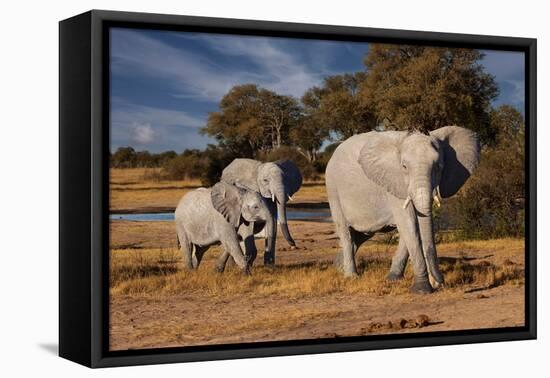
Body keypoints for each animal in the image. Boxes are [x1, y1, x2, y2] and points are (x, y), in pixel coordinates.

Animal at [330, 125, 480, 294]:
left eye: (439, 167)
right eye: (404, 167)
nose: (440, 282)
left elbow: (412, 227)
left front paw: (393, 279)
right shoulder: (394, 182)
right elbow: (409, 224)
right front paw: (422, 290)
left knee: (362, 235)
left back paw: (338, 268)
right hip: (333, 190)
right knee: (346, 233)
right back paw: (351, 277)